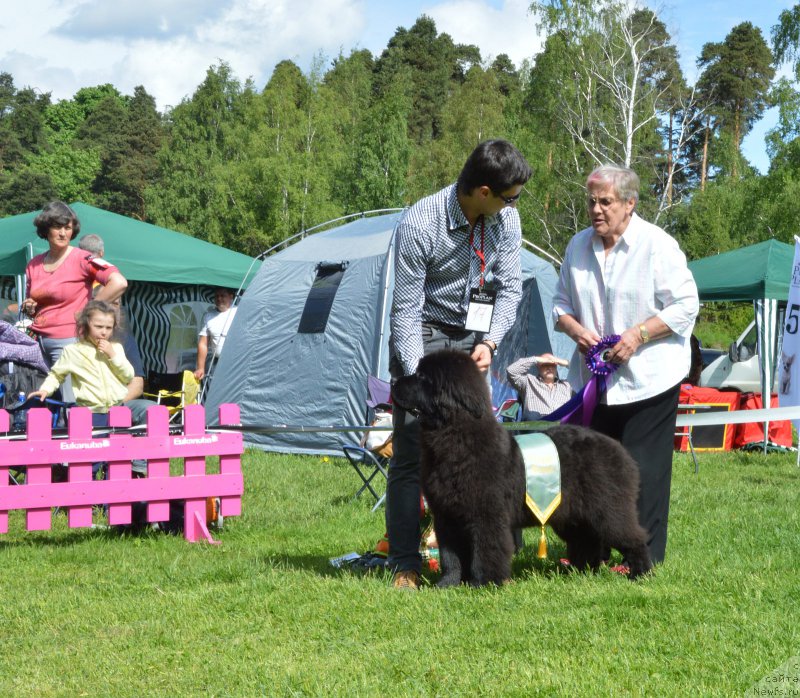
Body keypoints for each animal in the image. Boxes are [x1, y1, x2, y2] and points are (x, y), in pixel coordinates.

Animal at [390, 346, 652, 580]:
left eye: (422, 377)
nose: (393, 384)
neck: (455, 435)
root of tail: (619, 450)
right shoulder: (446, 515)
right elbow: (450, 556)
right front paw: (448, 584)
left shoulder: (487, 512)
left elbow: (487, 550)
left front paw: (485, 583)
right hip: (573, 515)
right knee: (586, 542)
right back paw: (581, 573)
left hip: (608, 508)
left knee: (633, 537)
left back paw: (641, 573)